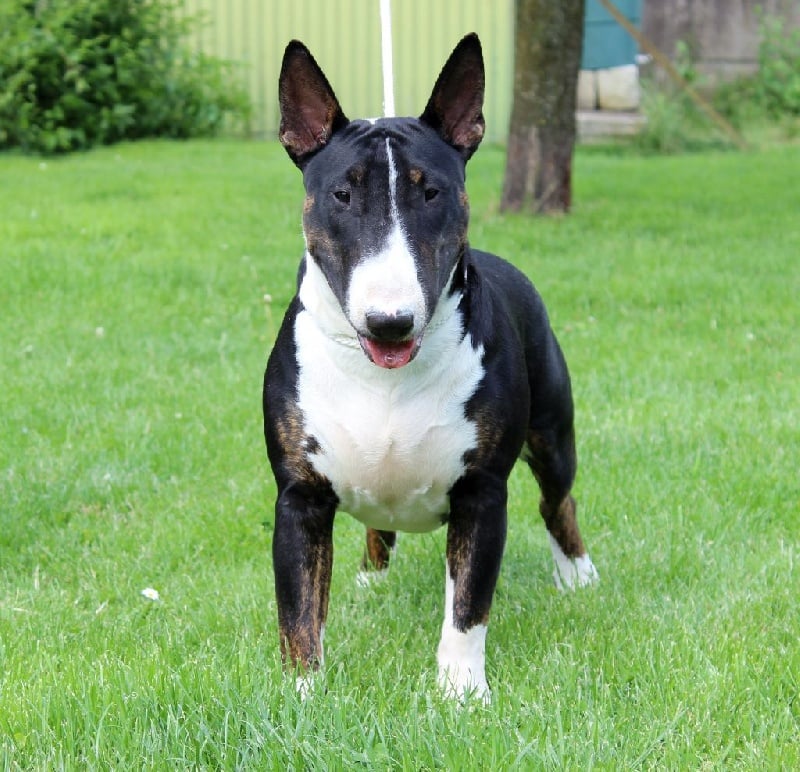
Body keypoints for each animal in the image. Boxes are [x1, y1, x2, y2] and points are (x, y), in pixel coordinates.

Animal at [263, 33, 598, 702]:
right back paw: (373, 580)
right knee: (377, 529)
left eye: (431, 191)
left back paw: (578, 574)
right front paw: (302, 697)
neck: (384, 373)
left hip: (552, 432)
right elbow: (299, 611)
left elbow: (468, 606)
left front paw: (462, 694)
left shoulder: (482, 493)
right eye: (342, 193)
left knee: (559, 502)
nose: (389, 321)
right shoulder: (299, 496)